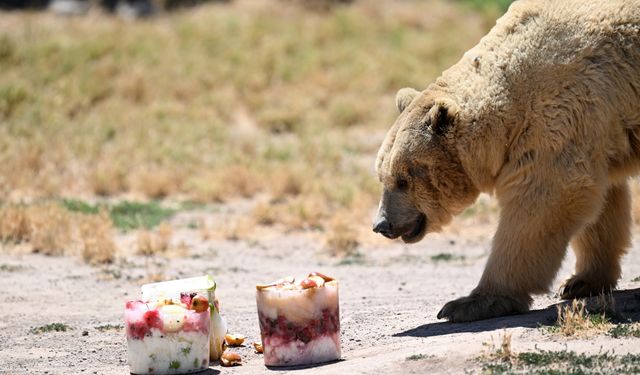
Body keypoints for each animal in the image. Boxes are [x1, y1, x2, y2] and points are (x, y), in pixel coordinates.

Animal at [372, 0, 636, 324]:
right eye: (381, 175)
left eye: (403, 179)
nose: (382, 224)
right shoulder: (596, 126)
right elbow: (601, 204)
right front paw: (581, 281)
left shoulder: (561, 111)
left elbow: (545, 202)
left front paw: (469, 303)